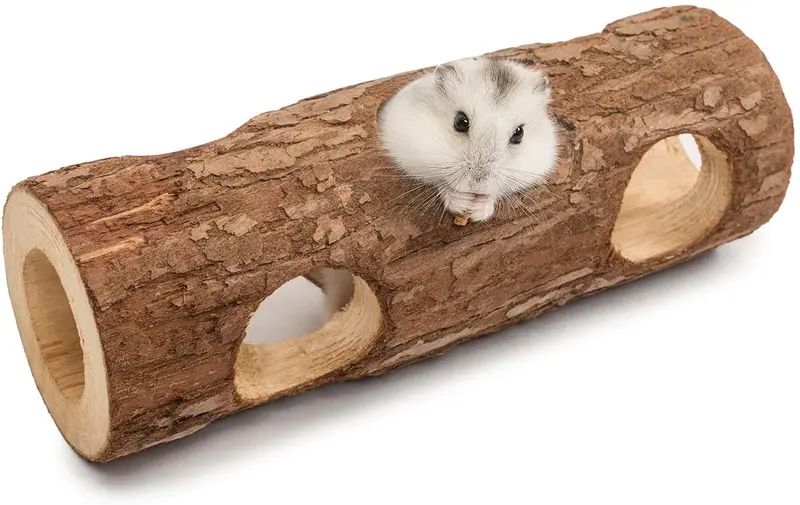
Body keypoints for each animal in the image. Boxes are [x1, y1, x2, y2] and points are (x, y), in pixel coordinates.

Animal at [377, 56, 559, 223]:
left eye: (519, 133)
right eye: (460, 122)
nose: (477, 186)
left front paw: (478, 212)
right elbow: (440, 182)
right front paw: (461, 204)